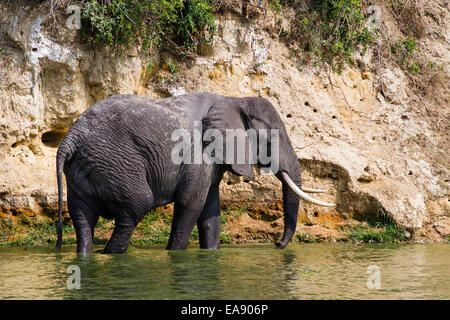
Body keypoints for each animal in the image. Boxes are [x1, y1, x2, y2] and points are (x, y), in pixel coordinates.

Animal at [54, 92, 334, 252]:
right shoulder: (197, 153)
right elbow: (192, 204)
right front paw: (175, 254)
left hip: (83, 169)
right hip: (115, 163)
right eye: (269, 139)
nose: (277, 244)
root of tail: (69, 139)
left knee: (82, 217)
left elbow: (210, 210)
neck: (232, 100)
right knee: (135, 207)